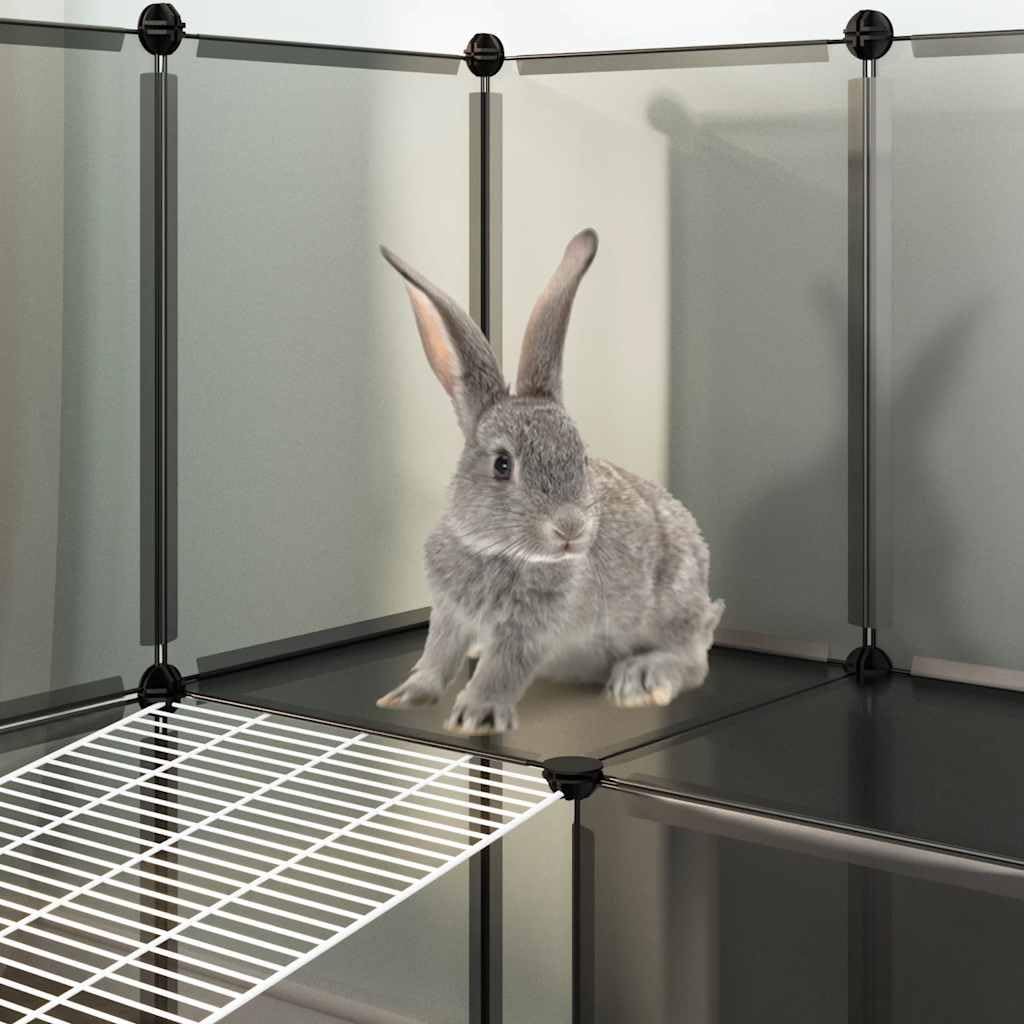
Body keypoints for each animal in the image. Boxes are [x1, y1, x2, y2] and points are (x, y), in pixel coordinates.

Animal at [377, 228, 724, 735]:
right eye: (503, 465)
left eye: (580, 455)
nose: (570, 528)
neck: (498, 551)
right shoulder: (449, 613)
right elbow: (437, 656)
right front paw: (404, 697)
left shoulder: (533, 629)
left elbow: (503, 668)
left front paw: (475, 716)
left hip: (674, 602)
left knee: (692, 659)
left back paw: (639, 681)